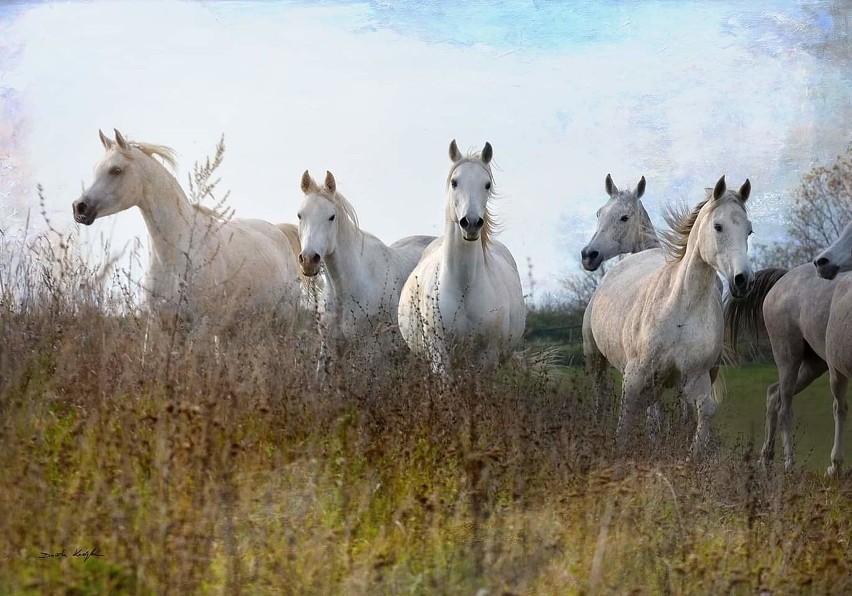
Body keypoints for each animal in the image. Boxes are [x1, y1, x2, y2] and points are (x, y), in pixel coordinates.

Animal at [71, 129, 302, 330]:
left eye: (116, 170)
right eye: (95, 169)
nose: (79, 207)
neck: (174, 254)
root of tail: (279, 233)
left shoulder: (201, 324)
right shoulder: (157, 322)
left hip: (283, 319)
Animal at [398, 140, 524, 372]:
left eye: (487, 185)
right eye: (454, 182)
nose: (471, 223)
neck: (463, 285)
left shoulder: (488, 357)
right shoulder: (439, 353)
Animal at [584, 176, 752, 456]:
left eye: (749, 230)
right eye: (718, 226)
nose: (588, 255)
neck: (679, 308)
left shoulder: (694, 379)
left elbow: (704, 412)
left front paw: (692, 457)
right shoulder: (635, 377)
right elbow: (627, 421)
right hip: (595, 357)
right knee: (600, 394)